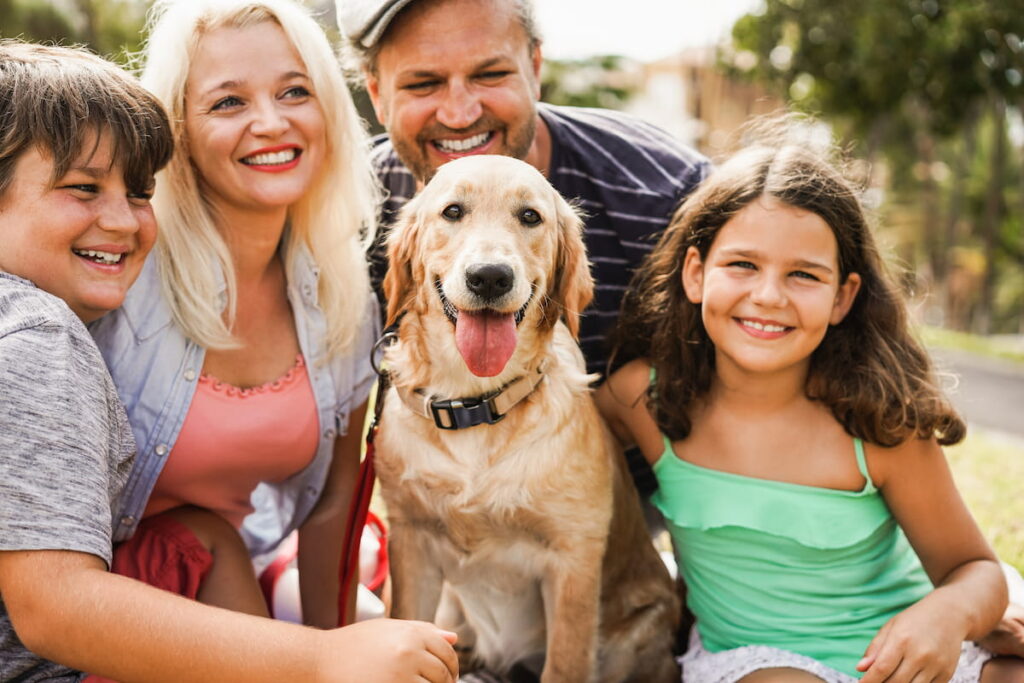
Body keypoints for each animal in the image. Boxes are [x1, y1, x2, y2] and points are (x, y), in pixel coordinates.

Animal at [376, 156, 679, 683]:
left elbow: (565, 664)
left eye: (530, 217)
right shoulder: (411, 542)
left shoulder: (573, 561)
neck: (475, 406)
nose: (489, 277)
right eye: (452, 211)